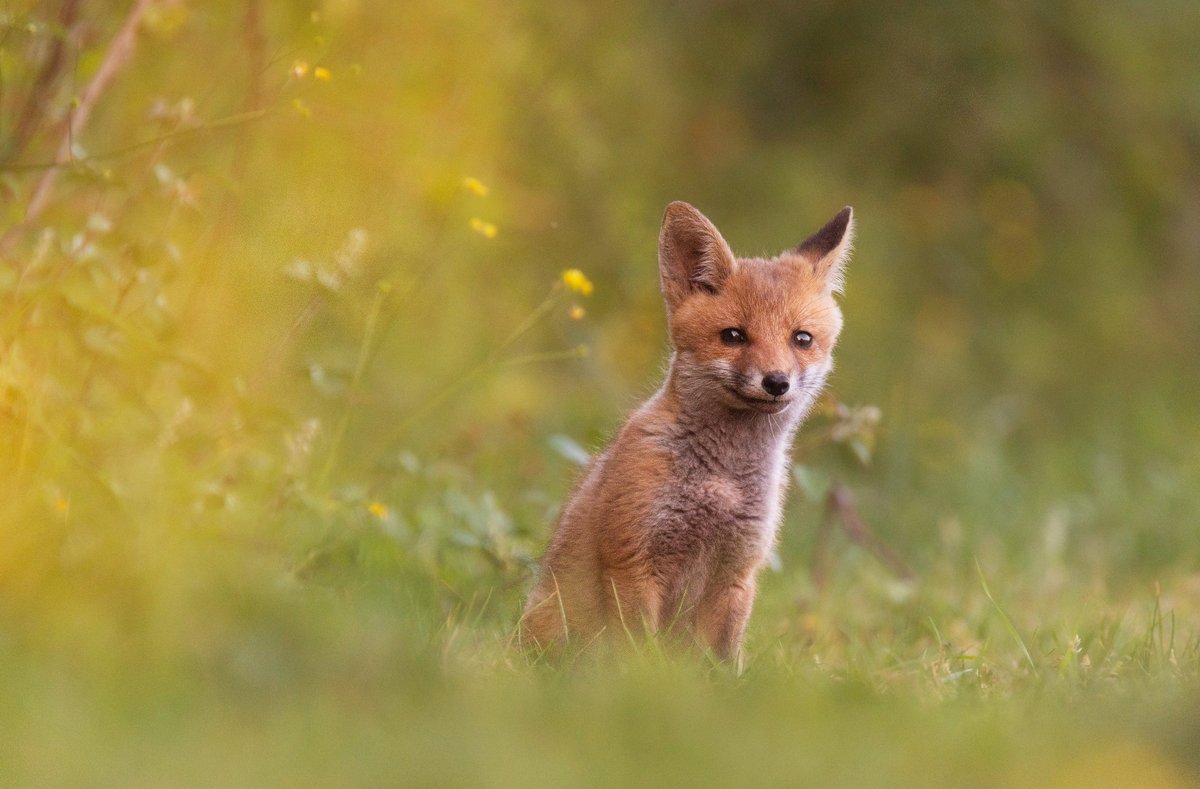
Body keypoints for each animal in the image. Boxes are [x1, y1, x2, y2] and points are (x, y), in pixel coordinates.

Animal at [521, 201, 854, 661]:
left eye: (801, 339)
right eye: (733, 336)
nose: (776, 382)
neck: (721, 483)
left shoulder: (737, 573)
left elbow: (720, 660)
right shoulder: (633, 561)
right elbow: (638, 655)